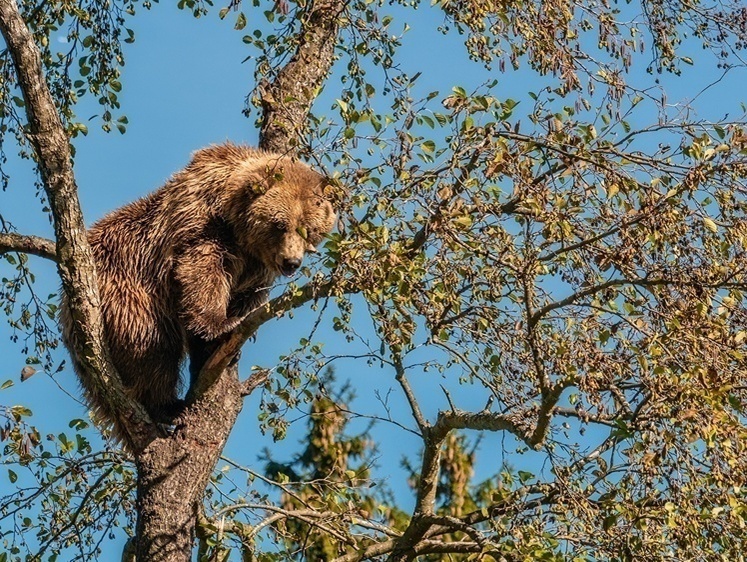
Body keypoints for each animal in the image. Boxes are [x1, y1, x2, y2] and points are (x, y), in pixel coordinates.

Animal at [60, 141, 338, 438]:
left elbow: (244, 295)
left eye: (309, 229)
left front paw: (220, 346)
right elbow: (202, 273)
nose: (291, 262)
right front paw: (222, 326)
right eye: (280, 224)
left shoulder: (256, 267)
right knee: (151, 344)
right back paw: (168, 406)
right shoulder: (200, 226)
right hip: (125, 291)